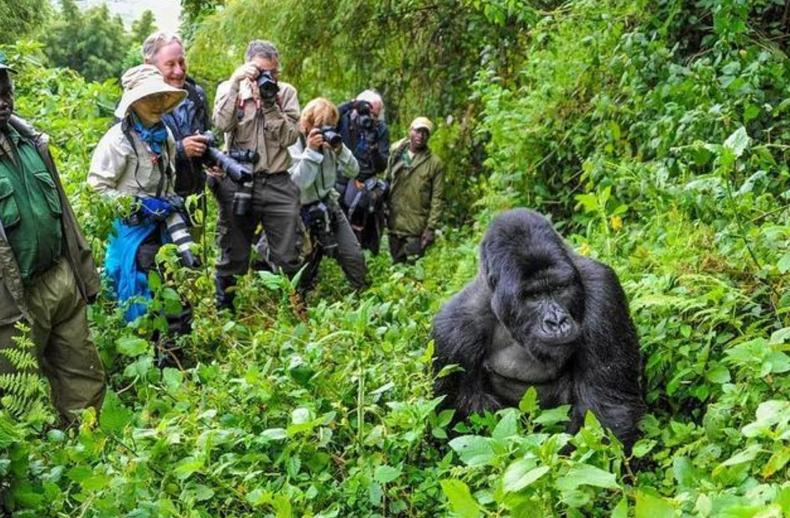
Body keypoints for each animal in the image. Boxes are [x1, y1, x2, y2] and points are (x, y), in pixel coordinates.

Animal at [434, 210, 648, 450]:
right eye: (534, 296)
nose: (557, 321)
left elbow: (606, 410)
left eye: (559, 288)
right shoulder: (451, 334)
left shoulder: (603, 290)